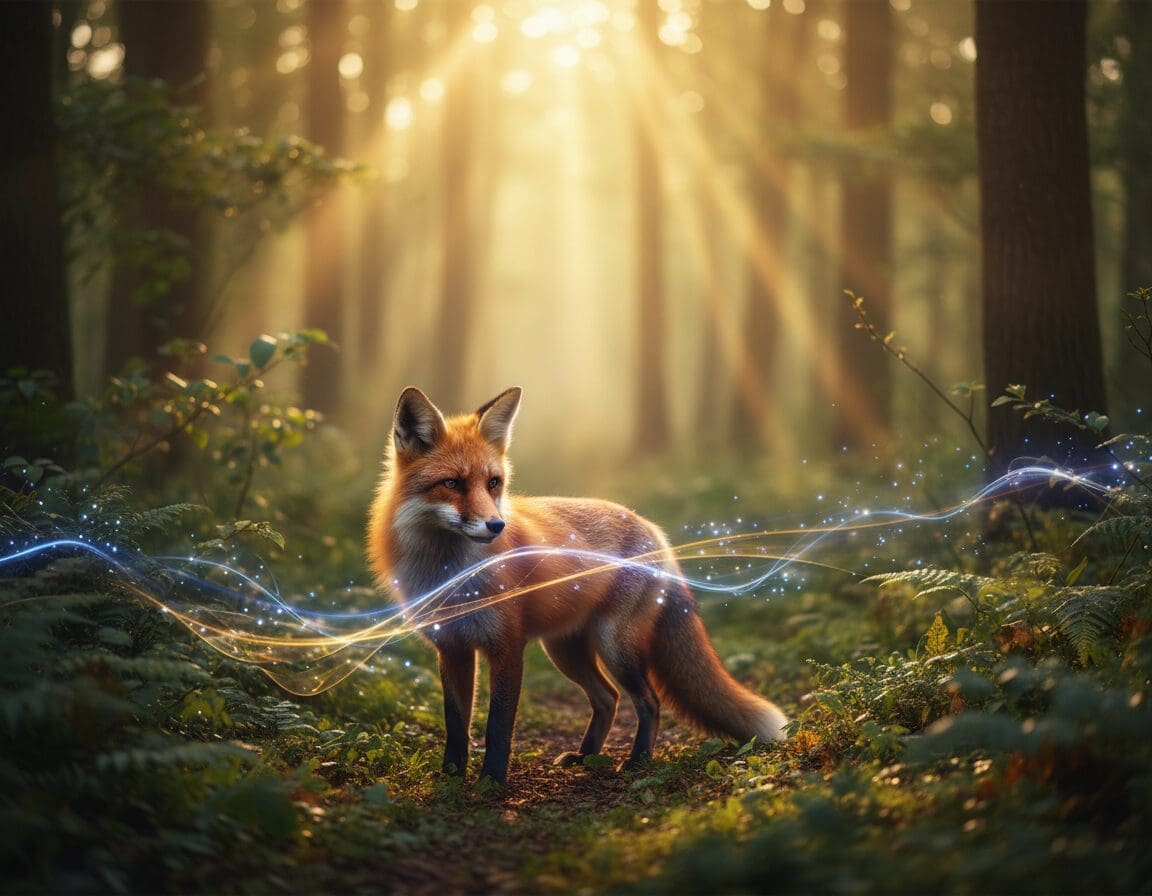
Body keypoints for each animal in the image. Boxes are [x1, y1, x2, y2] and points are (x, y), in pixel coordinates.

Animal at [366, 386, 787, 784]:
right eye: (452, 483)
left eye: (493, 483)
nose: (496, 525)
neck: (450, 574)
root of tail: (655, 531)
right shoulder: (452, 649)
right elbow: (456, 724)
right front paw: (451, 779)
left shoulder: (507, 647)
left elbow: (498, 726)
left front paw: (491, 782)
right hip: (564, 650)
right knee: (608, 698)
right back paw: (585, 757)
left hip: (614, 645)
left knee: (648, 701)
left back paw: (637, 761)